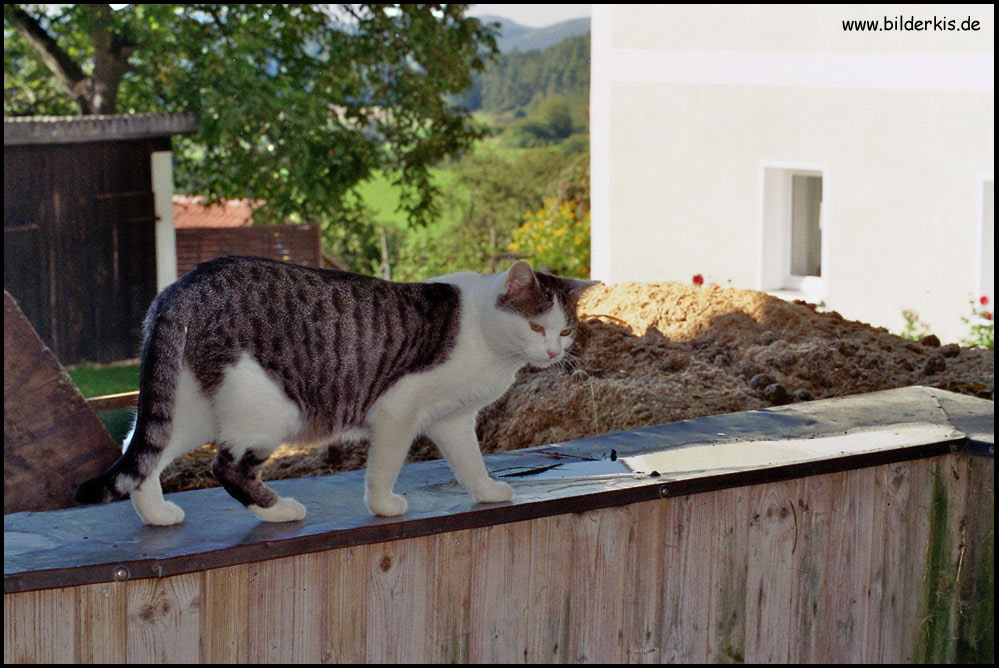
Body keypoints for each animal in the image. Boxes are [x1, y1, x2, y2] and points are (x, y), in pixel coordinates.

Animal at [78, 254, 596, 520]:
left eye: (566, 330)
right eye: (535, 326)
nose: (554, 352)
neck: (488, 341)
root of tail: (183, 284)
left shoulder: (452, 419)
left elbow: (470, 463)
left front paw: (487, 492)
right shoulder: (397, 412)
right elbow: (384, 468)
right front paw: (384, 507)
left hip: (190, 407)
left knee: (142, 451)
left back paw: (157, 514)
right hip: (269, 409)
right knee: (225, 467)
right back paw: (279, 511)